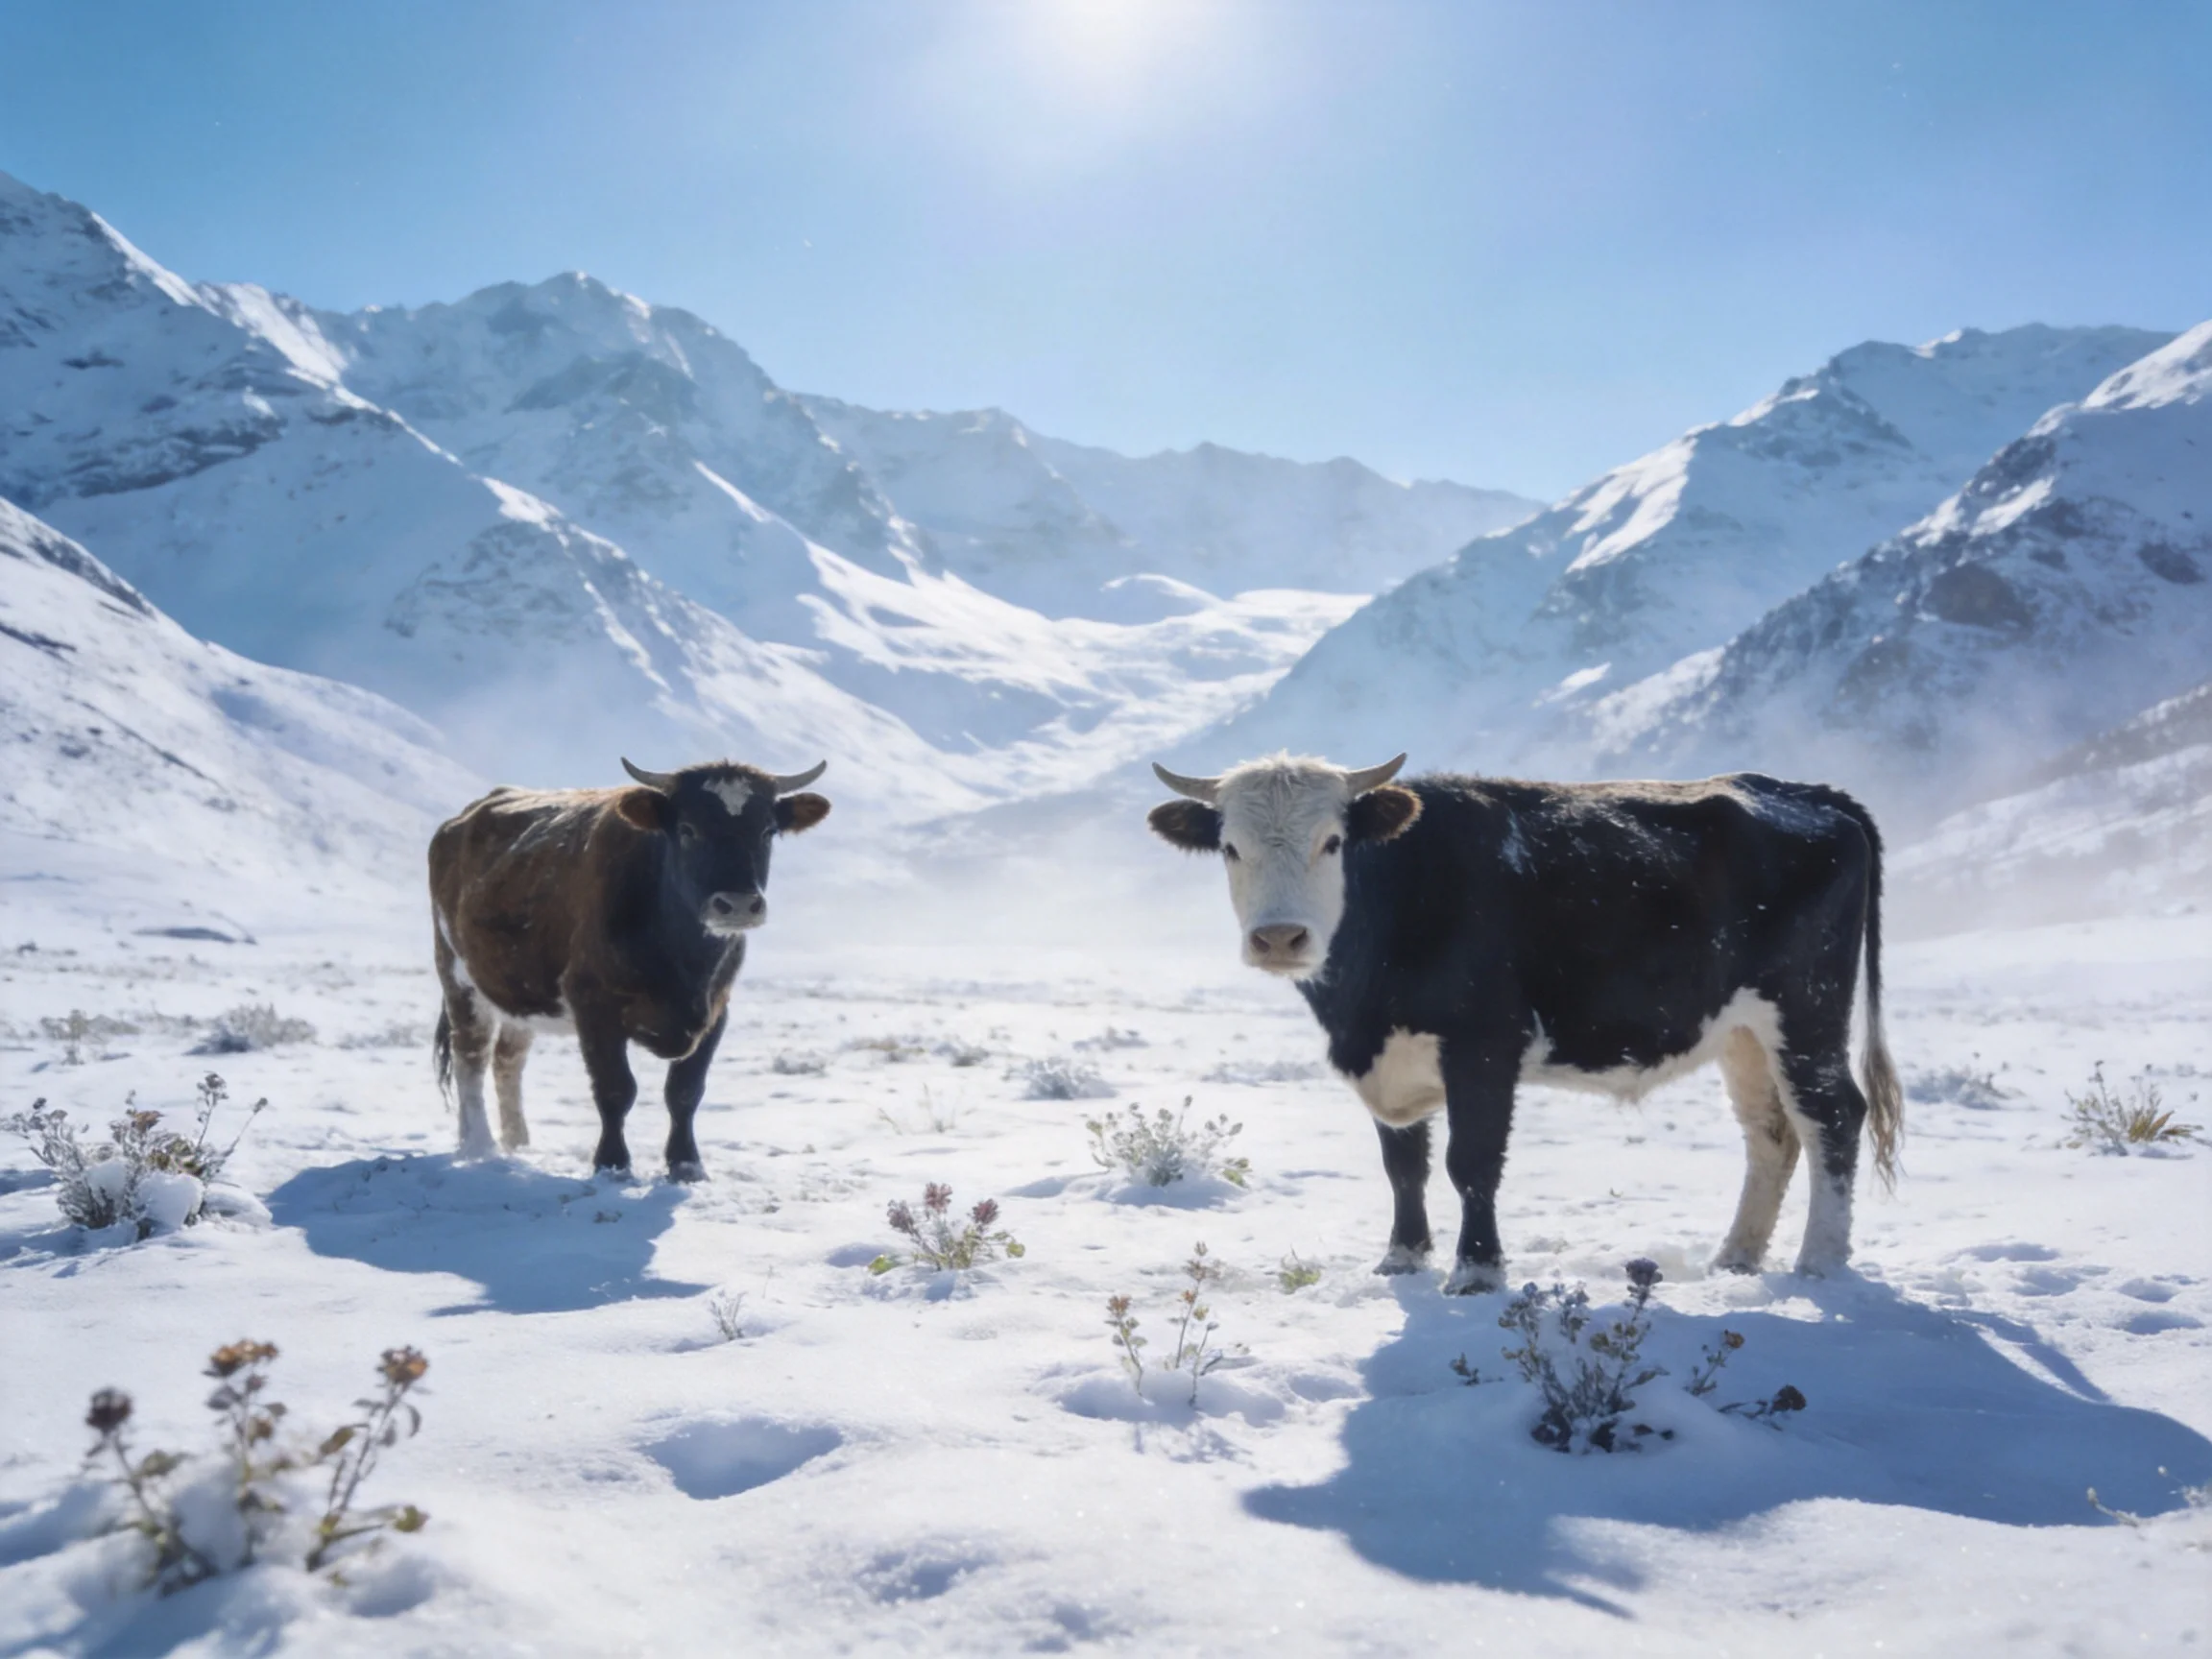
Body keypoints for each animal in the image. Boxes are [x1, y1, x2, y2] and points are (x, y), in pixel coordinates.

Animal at [429, 757, 831, 1180]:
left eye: (767, 831)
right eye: (688, 829)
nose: (737, 904)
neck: (683, 961)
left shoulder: (716, 1011)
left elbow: (685, 1092)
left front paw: (686, 1164)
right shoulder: (594, 1006)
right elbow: (615, 1088)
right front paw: (612, 1163)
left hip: (518, 991)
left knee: (509, 1058)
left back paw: (517, 1144)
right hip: (457, 977)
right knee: (470, 1056)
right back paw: (478, 1145)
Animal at [1145, 752, 1902, 1292]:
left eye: (1332, 843)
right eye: (1231, 848)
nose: (1279, 938)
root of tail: (1811, 793)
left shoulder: (1483, 1046)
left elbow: (1470, 1162)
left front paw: (1477, 1271)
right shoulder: (1390, 1056)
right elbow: (1403, 1166)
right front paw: (1402, 1260)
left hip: (1805, 1009)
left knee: (1831, 1115)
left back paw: (1819, 1264)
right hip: (1743, 1032)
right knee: (1770, 1131)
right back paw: (1736, 1259)